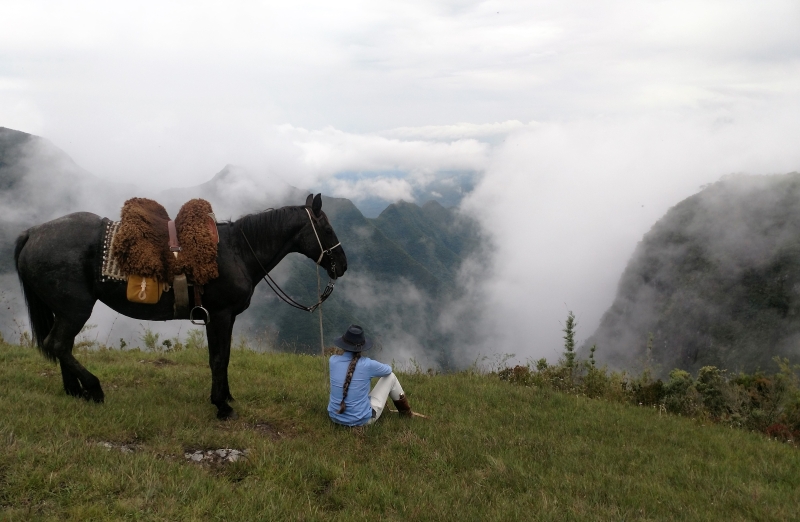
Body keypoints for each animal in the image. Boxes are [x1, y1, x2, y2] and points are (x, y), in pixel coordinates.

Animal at [14, 193, 346, 416]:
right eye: (328, 230)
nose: (342, 266)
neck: (237, 250)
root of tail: (33, 232)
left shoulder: (221, 318)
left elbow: (221, 357)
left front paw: (226, 396)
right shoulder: (221, 315)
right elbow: (219, 359)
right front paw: (221, 405)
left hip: (65, 310)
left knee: (62, 346)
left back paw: (74, 391)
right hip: (75, 309)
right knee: (57, 344)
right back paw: (93, 389)